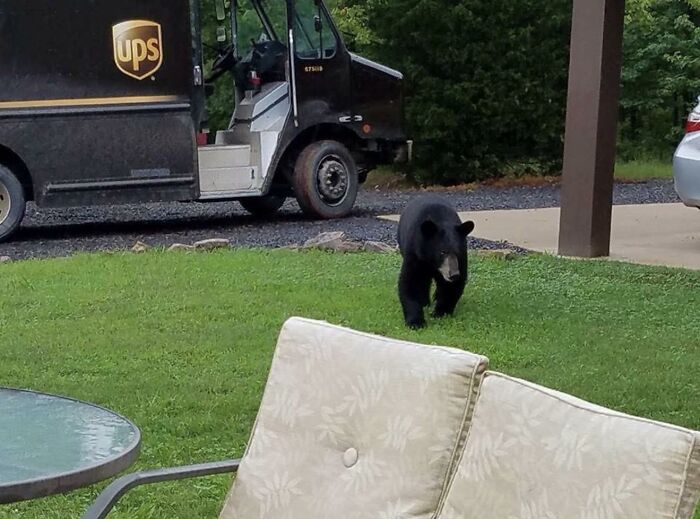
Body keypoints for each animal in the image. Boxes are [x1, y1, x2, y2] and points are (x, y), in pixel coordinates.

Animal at [397, 194, 475, 329]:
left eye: (458, 251)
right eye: (442, 252)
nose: (453, 274)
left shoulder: (461, 259)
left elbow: (453, 286)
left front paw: (440, 313)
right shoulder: (415, 252)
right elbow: (411, 281)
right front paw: (416, 321)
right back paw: (425, 301)